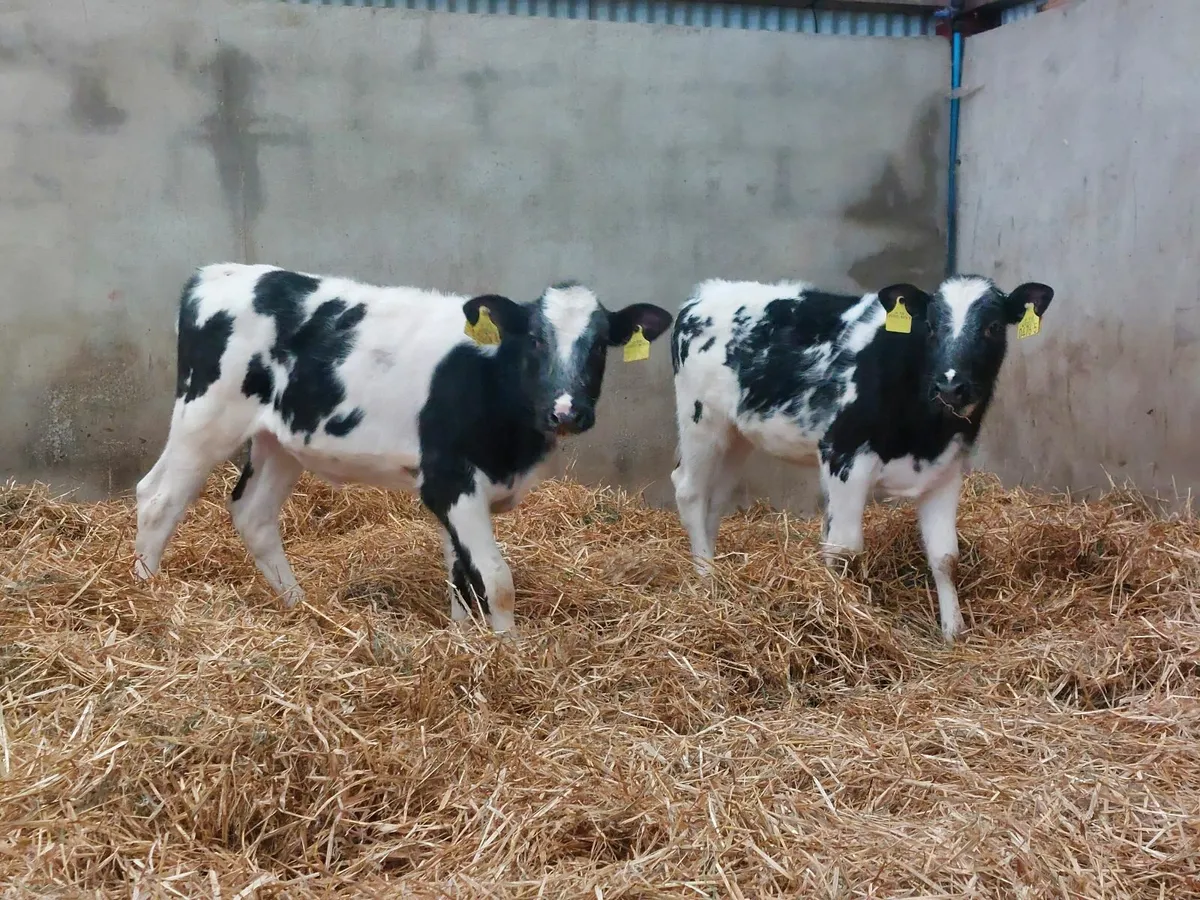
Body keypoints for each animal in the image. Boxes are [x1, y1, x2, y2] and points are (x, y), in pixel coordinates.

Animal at [133, 263, 673, 633]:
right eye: (536, 340)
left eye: (601, 345)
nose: (567, 411)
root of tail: (215, 274)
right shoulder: (449, 480)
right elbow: (496, 581)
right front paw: (510, 656)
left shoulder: (462, 492)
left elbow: (461, 575)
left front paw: (463, 641)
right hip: (205, 416)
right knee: (157, 499)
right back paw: (145, 596)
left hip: (279, 440)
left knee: (254, 514)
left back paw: (301, 607)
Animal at [668, 275, 1054, 642]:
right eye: (931, 326)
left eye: (993, 326)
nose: (950, 386)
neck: (923, 432)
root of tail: (704, 293)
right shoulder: (843, 456)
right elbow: (844, 548)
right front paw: (838, 615)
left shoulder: (945, 470)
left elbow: (945, 557)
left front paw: (953, 633)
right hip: (700, 420)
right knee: (689, 491)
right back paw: (705, 577)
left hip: (736, 434)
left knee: (715, 499)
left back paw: (715, 569)